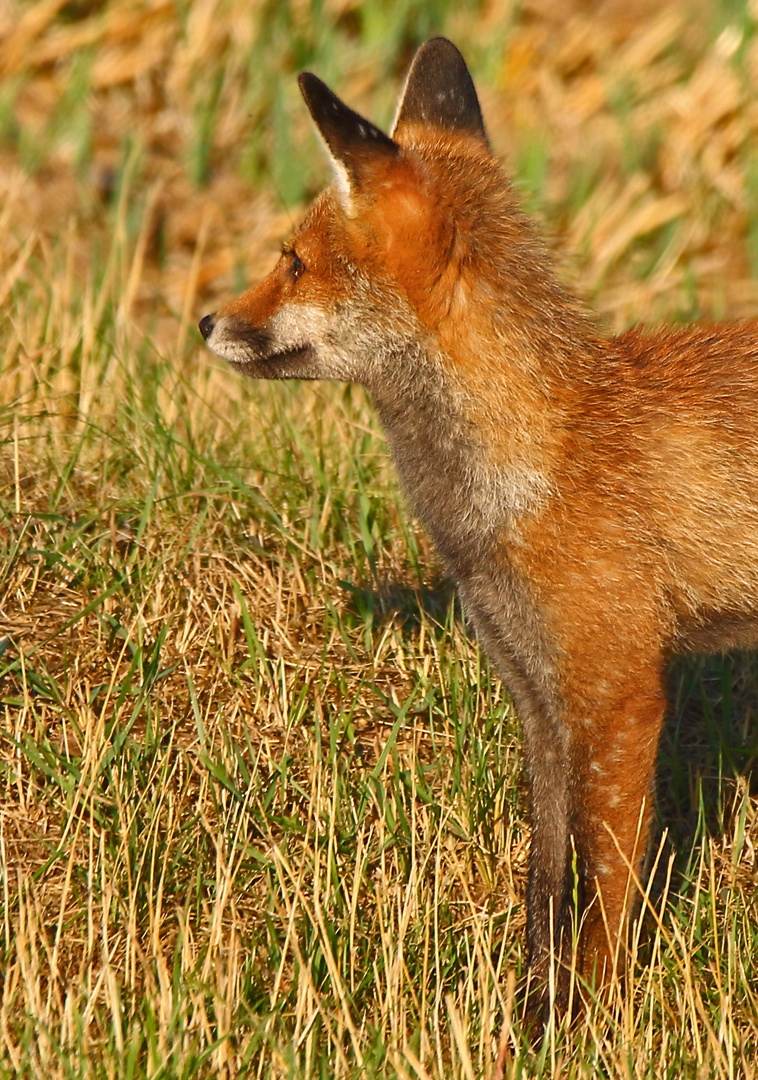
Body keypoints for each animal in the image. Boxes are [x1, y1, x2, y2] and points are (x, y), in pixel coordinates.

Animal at [200, 38, 758, 1019]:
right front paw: (529, 1012)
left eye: (294, 263)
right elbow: (545, 881)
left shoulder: (620, 695)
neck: (539, 461)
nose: (203, 321)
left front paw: (593, 1021)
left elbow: (605, 894)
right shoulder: (538, 698)